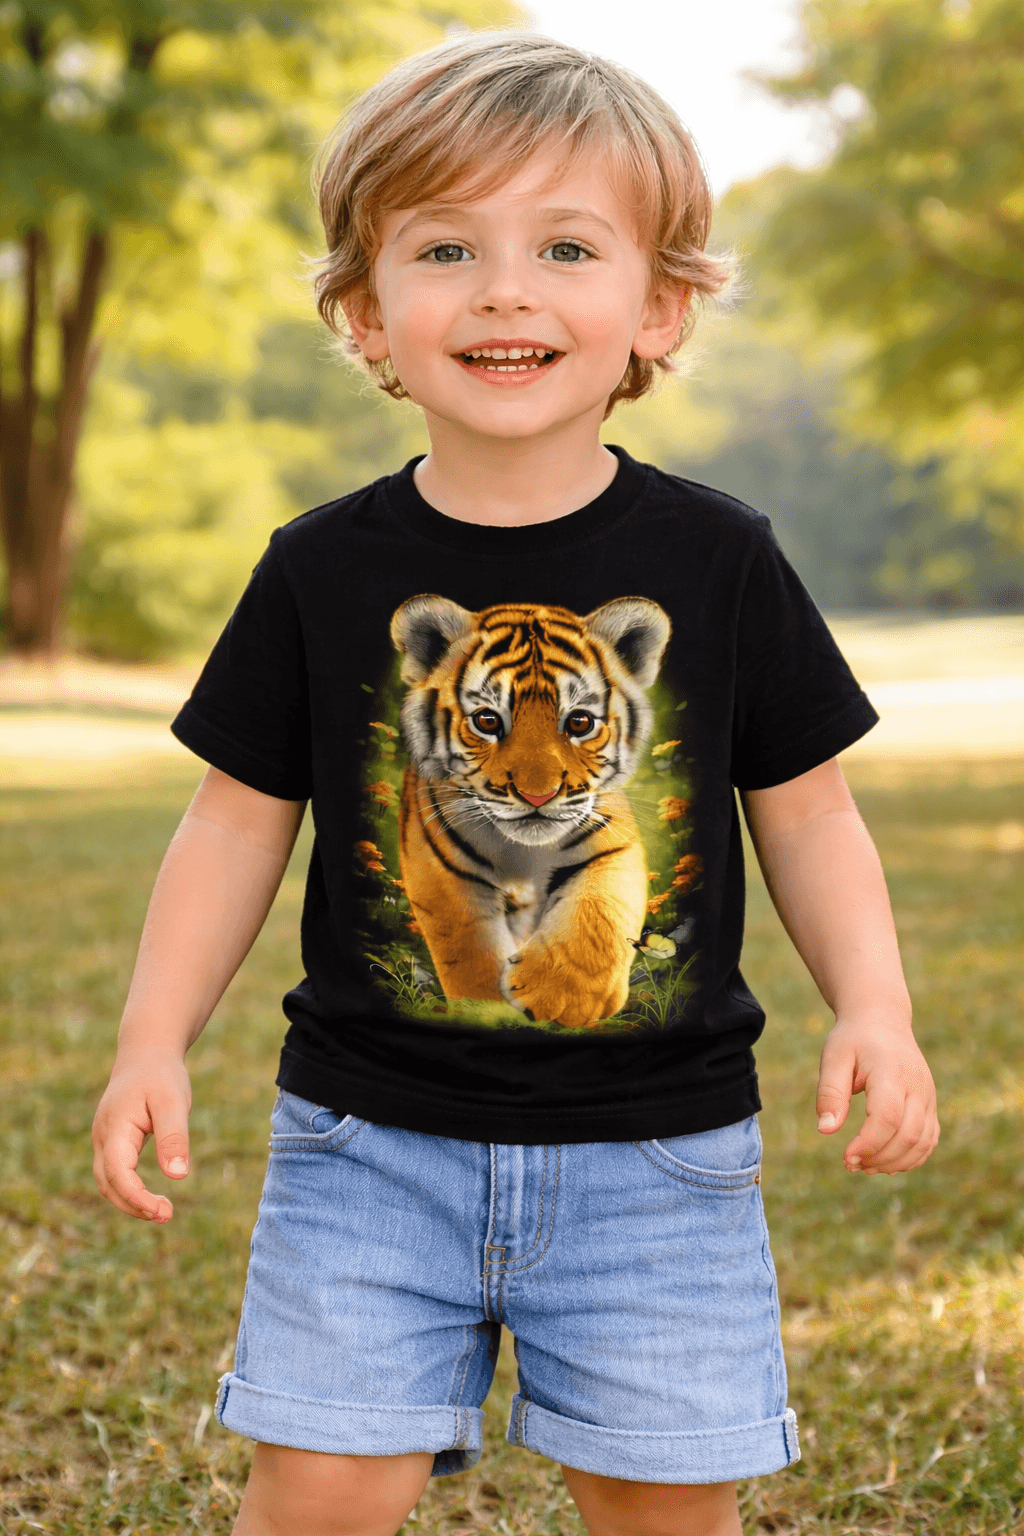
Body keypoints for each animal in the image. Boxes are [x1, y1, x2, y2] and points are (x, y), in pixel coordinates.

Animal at [389, 596, 672, 1029]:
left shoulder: (613, 841)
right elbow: (470, 946)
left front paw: (564, 998)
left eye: (580, 722)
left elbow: (599, 913)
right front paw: (491, 1012)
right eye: (487, 720)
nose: (537, 796)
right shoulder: (439, 864)